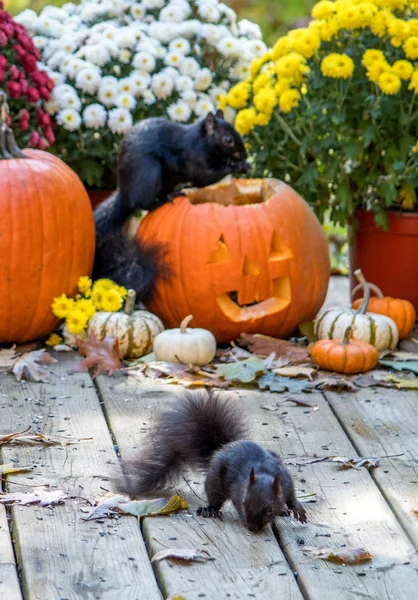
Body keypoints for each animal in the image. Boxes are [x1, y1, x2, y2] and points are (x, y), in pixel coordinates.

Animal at [93, 109, 250, 300]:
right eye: (228, 140)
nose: (245, 155)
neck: (200, 143)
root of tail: (124, 193)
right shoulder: (194, 161)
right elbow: (205, 177)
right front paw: (237, 165)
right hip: (149, 174)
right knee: (142, 203)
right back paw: (161, 201)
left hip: (167, 180)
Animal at [117, 392, 306, 532]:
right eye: (243, 503)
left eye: (269, 509)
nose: (252, 527)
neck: (264, 473)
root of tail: (223, 448)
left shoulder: (286, 481)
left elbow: (291, 497)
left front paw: (297, 510)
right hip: (214, 480)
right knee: (215, 498)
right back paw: (209, 509)